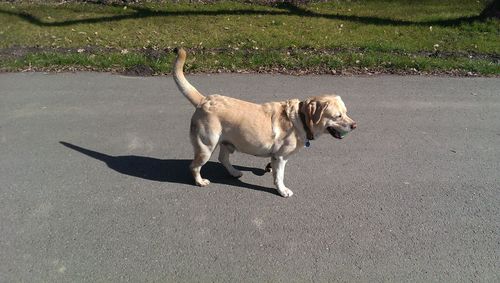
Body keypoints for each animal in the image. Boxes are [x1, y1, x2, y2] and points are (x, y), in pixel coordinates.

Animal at [172, 48, 356, 197]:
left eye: (346, 112)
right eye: (338, 116)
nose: (355, 126)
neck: (300, 117)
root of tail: (204, 100)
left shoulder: (276, 157)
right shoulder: (281, 157)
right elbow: (279, 176)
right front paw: (282, 190)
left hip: (225, 142)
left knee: (223, 158)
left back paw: (234, 172)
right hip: (206, 146)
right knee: (194, 166)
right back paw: (200, 181)